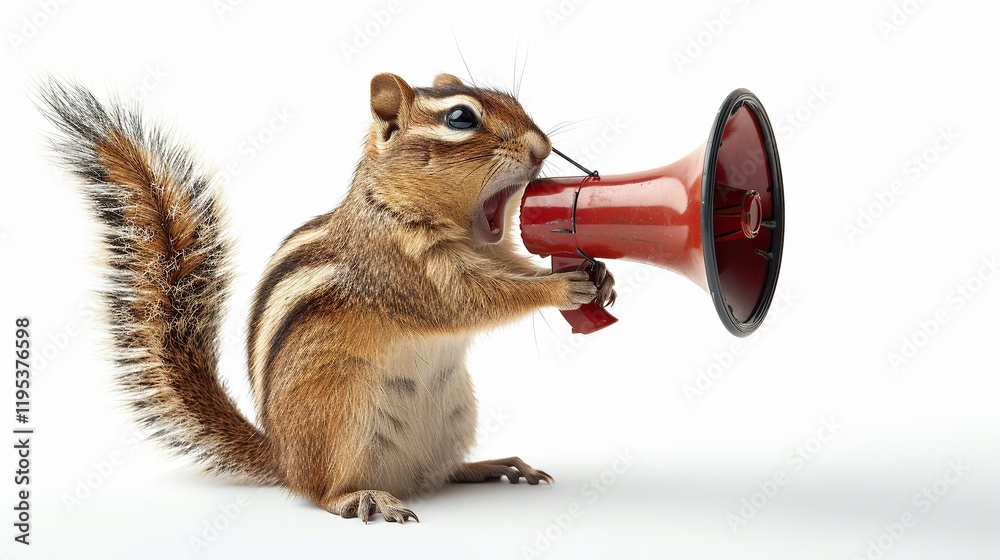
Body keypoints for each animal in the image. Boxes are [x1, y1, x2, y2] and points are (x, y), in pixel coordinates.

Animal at [36, 72, 615, 523]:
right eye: (459, 119)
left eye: (511, 100)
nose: (541, 146)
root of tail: (282, 457)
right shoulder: (402, 274)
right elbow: (472, 300)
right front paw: (562, 285)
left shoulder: (495, 251)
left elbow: (512, 268)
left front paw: (601, 275)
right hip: (343, 417)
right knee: (321, 492)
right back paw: (363, 499)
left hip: (456, 413)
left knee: (439, 474)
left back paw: (491, 466)